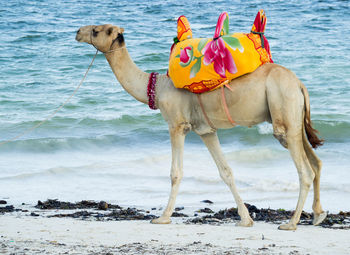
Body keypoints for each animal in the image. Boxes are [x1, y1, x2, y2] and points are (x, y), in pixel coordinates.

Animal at [75, 24, 326, 231]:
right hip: (295, 121)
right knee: (315, 161)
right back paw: (317, 215)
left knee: (305, 171)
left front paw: (162, 218)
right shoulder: (206, 131)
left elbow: (175, 172)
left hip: (284, 114)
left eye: (96, 31)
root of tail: (299, 84)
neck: (159, 88)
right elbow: (226, 171)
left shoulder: (176, 125)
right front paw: (246, 219)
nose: (78, 32)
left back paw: (291, 223)